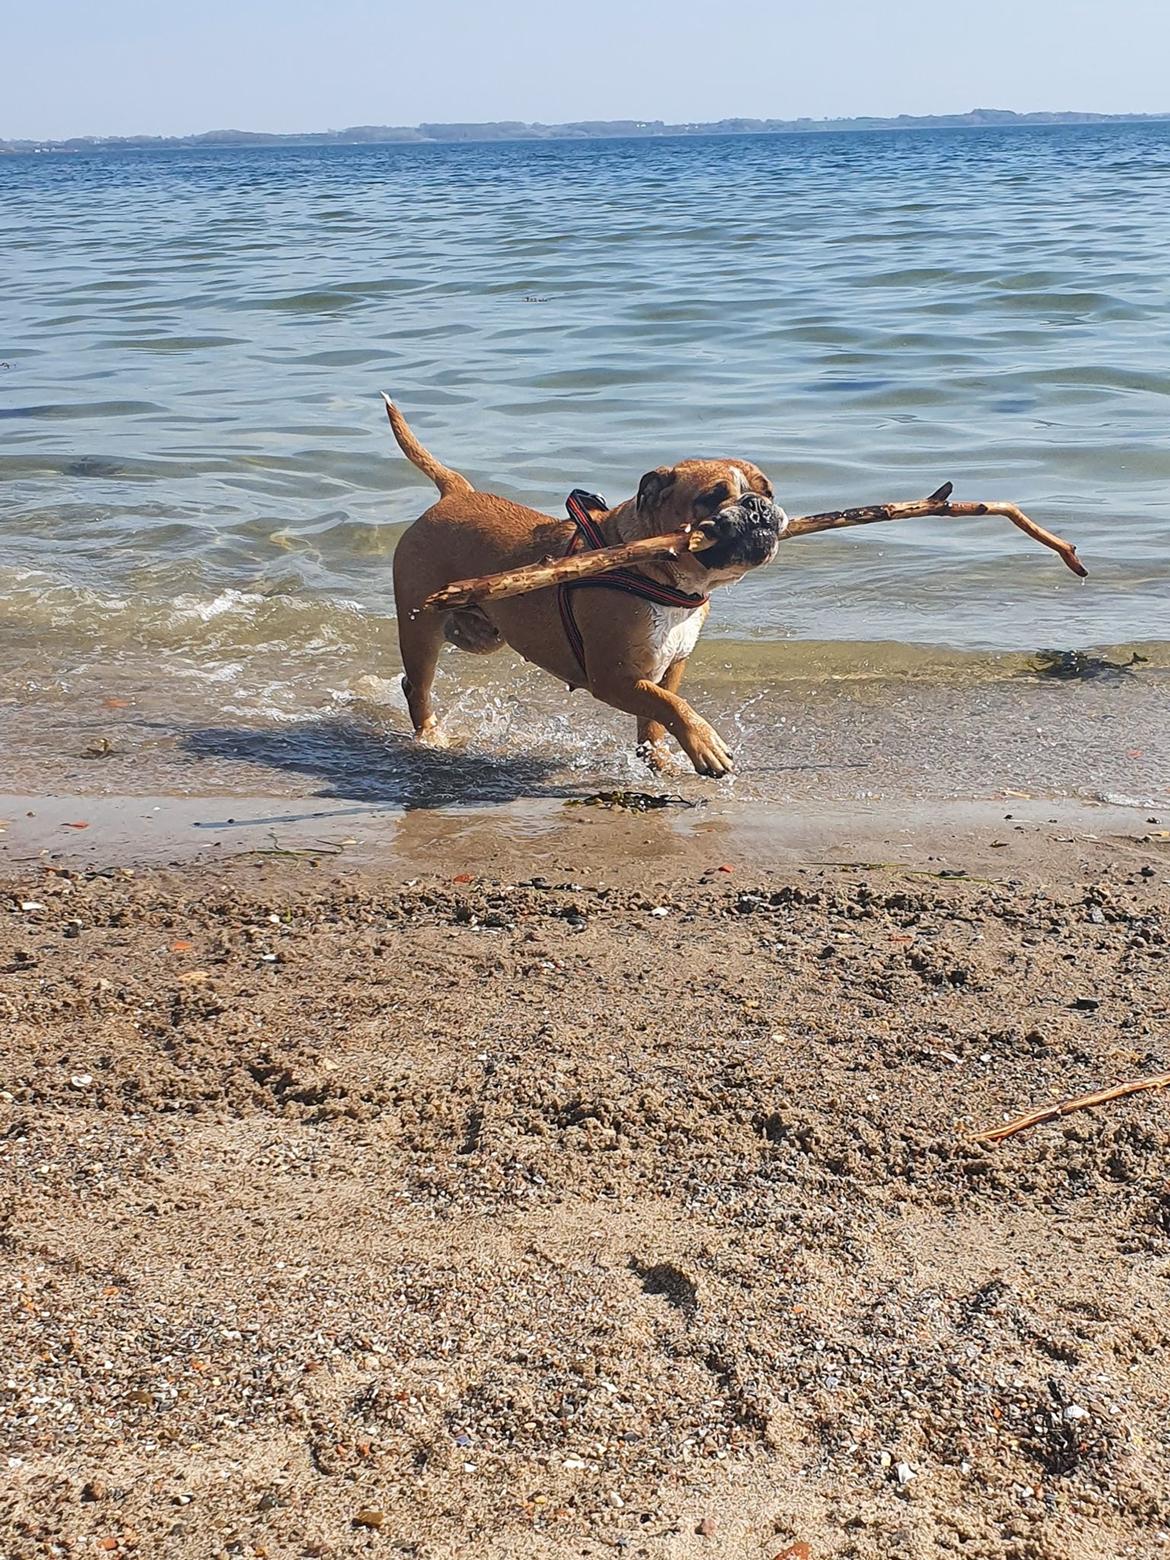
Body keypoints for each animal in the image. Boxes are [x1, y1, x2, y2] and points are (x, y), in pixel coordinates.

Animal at [386, 396, 789, 773]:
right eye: (712, 497)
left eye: (768, 493)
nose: (757, 506)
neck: (664, 576)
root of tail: (456, 492)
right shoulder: (613, 678)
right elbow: (672, 704)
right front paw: (706, 745)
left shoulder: (668, 668)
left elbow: (656, 718)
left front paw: (657, 760)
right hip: (421, 628)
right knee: (419, 684)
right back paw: (430, 735)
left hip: (483, 636)